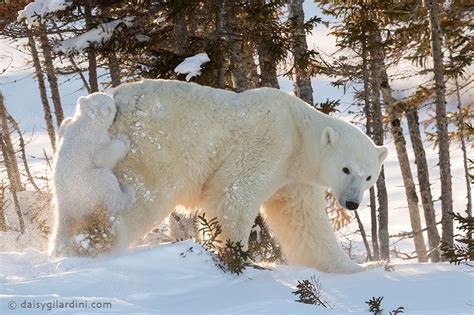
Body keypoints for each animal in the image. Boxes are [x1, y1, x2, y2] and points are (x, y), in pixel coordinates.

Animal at [109, 79, 386, 274]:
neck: (298, 132)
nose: (352, 203)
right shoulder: (270, 143)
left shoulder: (295, 180)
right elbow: (233, 194)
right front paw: (243, 258)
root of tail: (116, 99)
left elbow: (305, 222)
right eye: (346, 169)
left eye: (369, 176)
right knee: (140, 199)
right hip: (154, 148)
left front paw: (361, 267)